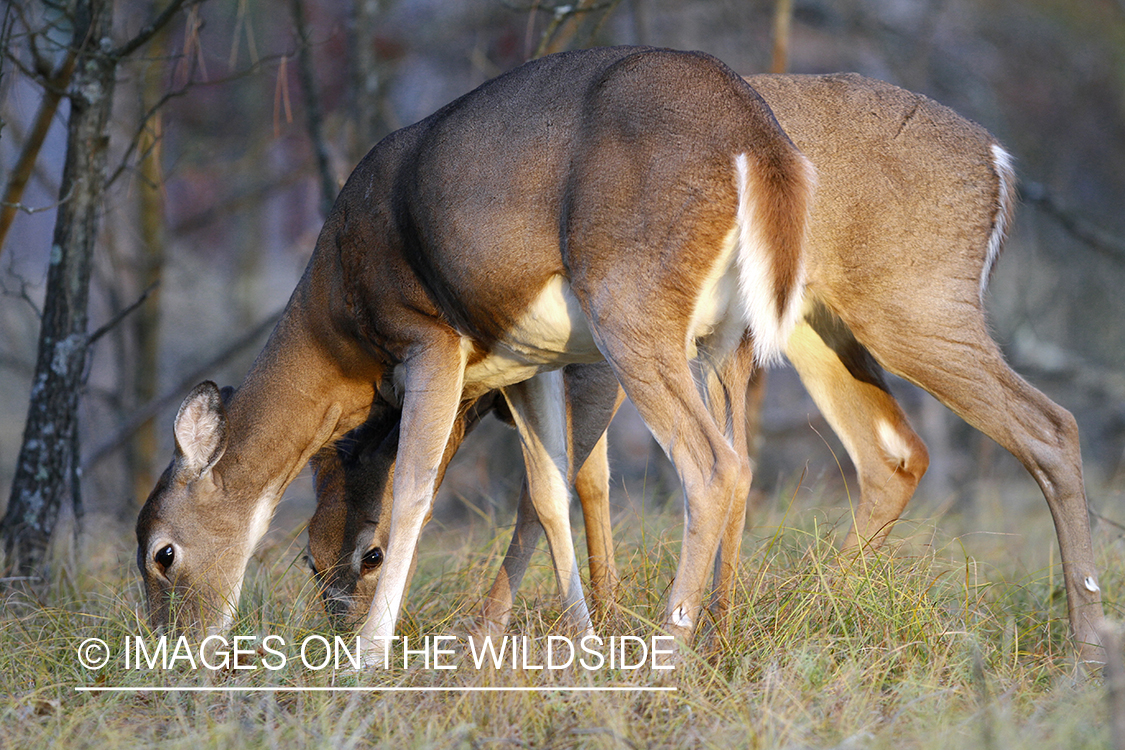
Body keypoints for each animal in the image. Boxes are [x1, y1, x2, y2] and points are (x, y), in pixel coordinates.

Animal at [136, 44, 814, 661]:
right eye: (308, 558)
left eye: (162, 554)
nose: (175, 648)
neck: (340, 331)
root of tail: (763, 146)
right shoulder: (528, 361)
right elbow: (548, 491)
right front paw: (585, 644)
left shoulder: (428, 336)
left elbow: (414, 490)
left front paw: (371, 657)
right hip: (723, 343)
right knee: (740, 459)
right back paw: (716, 639)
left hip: (630, 308)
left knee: (712, 466)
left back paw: (667, 657)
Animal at [301, 73, 1107, 665]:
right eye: (308, 557)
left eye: (369, 555)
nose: (334, 628)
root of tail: (997, 163)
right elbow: (576, 476)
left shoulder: (591, 360)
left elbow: (564, 480)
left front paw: (526, 629)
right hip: (819, 328)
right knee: (894, 452)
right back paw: (787, 613)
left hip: (916, 304)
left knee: (1050, 424)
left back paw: (1085, 647)